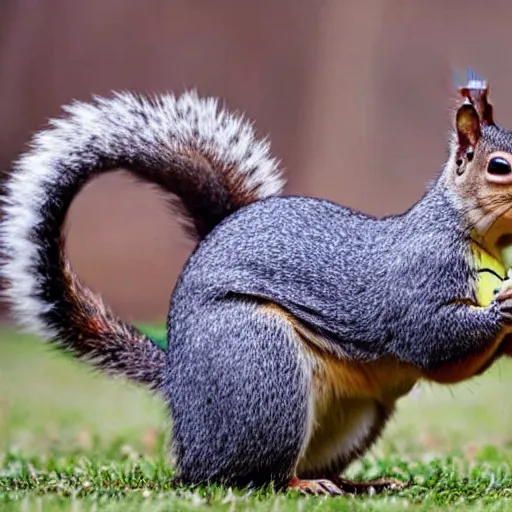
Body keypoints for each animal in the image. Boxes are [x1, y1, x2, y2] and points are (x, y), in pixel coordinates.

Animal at [3, 71, 512, 496]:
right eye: (499, 166)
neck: (475, 234)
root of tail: (179, 388)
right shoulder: (419, 277)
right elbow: (430, 338)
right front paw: (498, 310)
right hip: (261, 365)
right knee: (249, 476)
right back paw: (303, 485)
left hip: (353, 414)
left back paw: (357, 484)